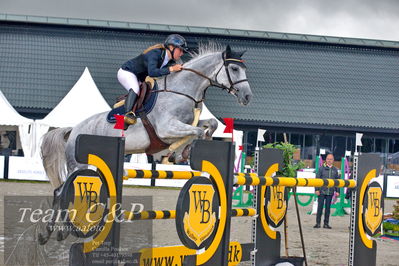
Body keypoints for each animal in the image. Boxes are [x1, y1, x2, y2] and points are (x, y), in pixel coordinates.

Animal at [39, 44, 255, 245]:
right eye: (234, 68)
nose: (247, 97)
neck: (183, 91)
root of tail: (73, 129)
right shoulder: (167, 128)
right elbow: (198, 132)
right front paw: (179, 154)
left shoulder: (187, 123)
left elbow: (210, 124)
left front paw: (187, 151)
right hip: (78, 165)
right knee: (61, 191)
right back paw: (51, 233)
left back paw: (59, 231)